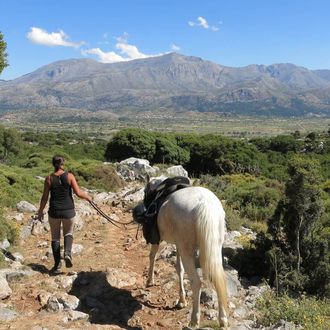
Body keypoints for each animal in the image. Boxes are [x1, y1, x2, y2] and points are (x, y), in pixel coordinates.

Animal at [141, 179, 228, 328]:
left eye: (145, 191)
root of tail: (205, 204)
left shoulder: (158, 240)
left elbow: (152, 256)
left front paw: (149, 280)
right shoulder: (178, 245)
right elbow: (179, 269)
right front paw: (182, 300)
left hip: (188, 250)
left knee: (196, 282)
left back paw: (194, 320)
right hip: (214, 248)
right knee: (218, 279)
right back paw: (222, 320)